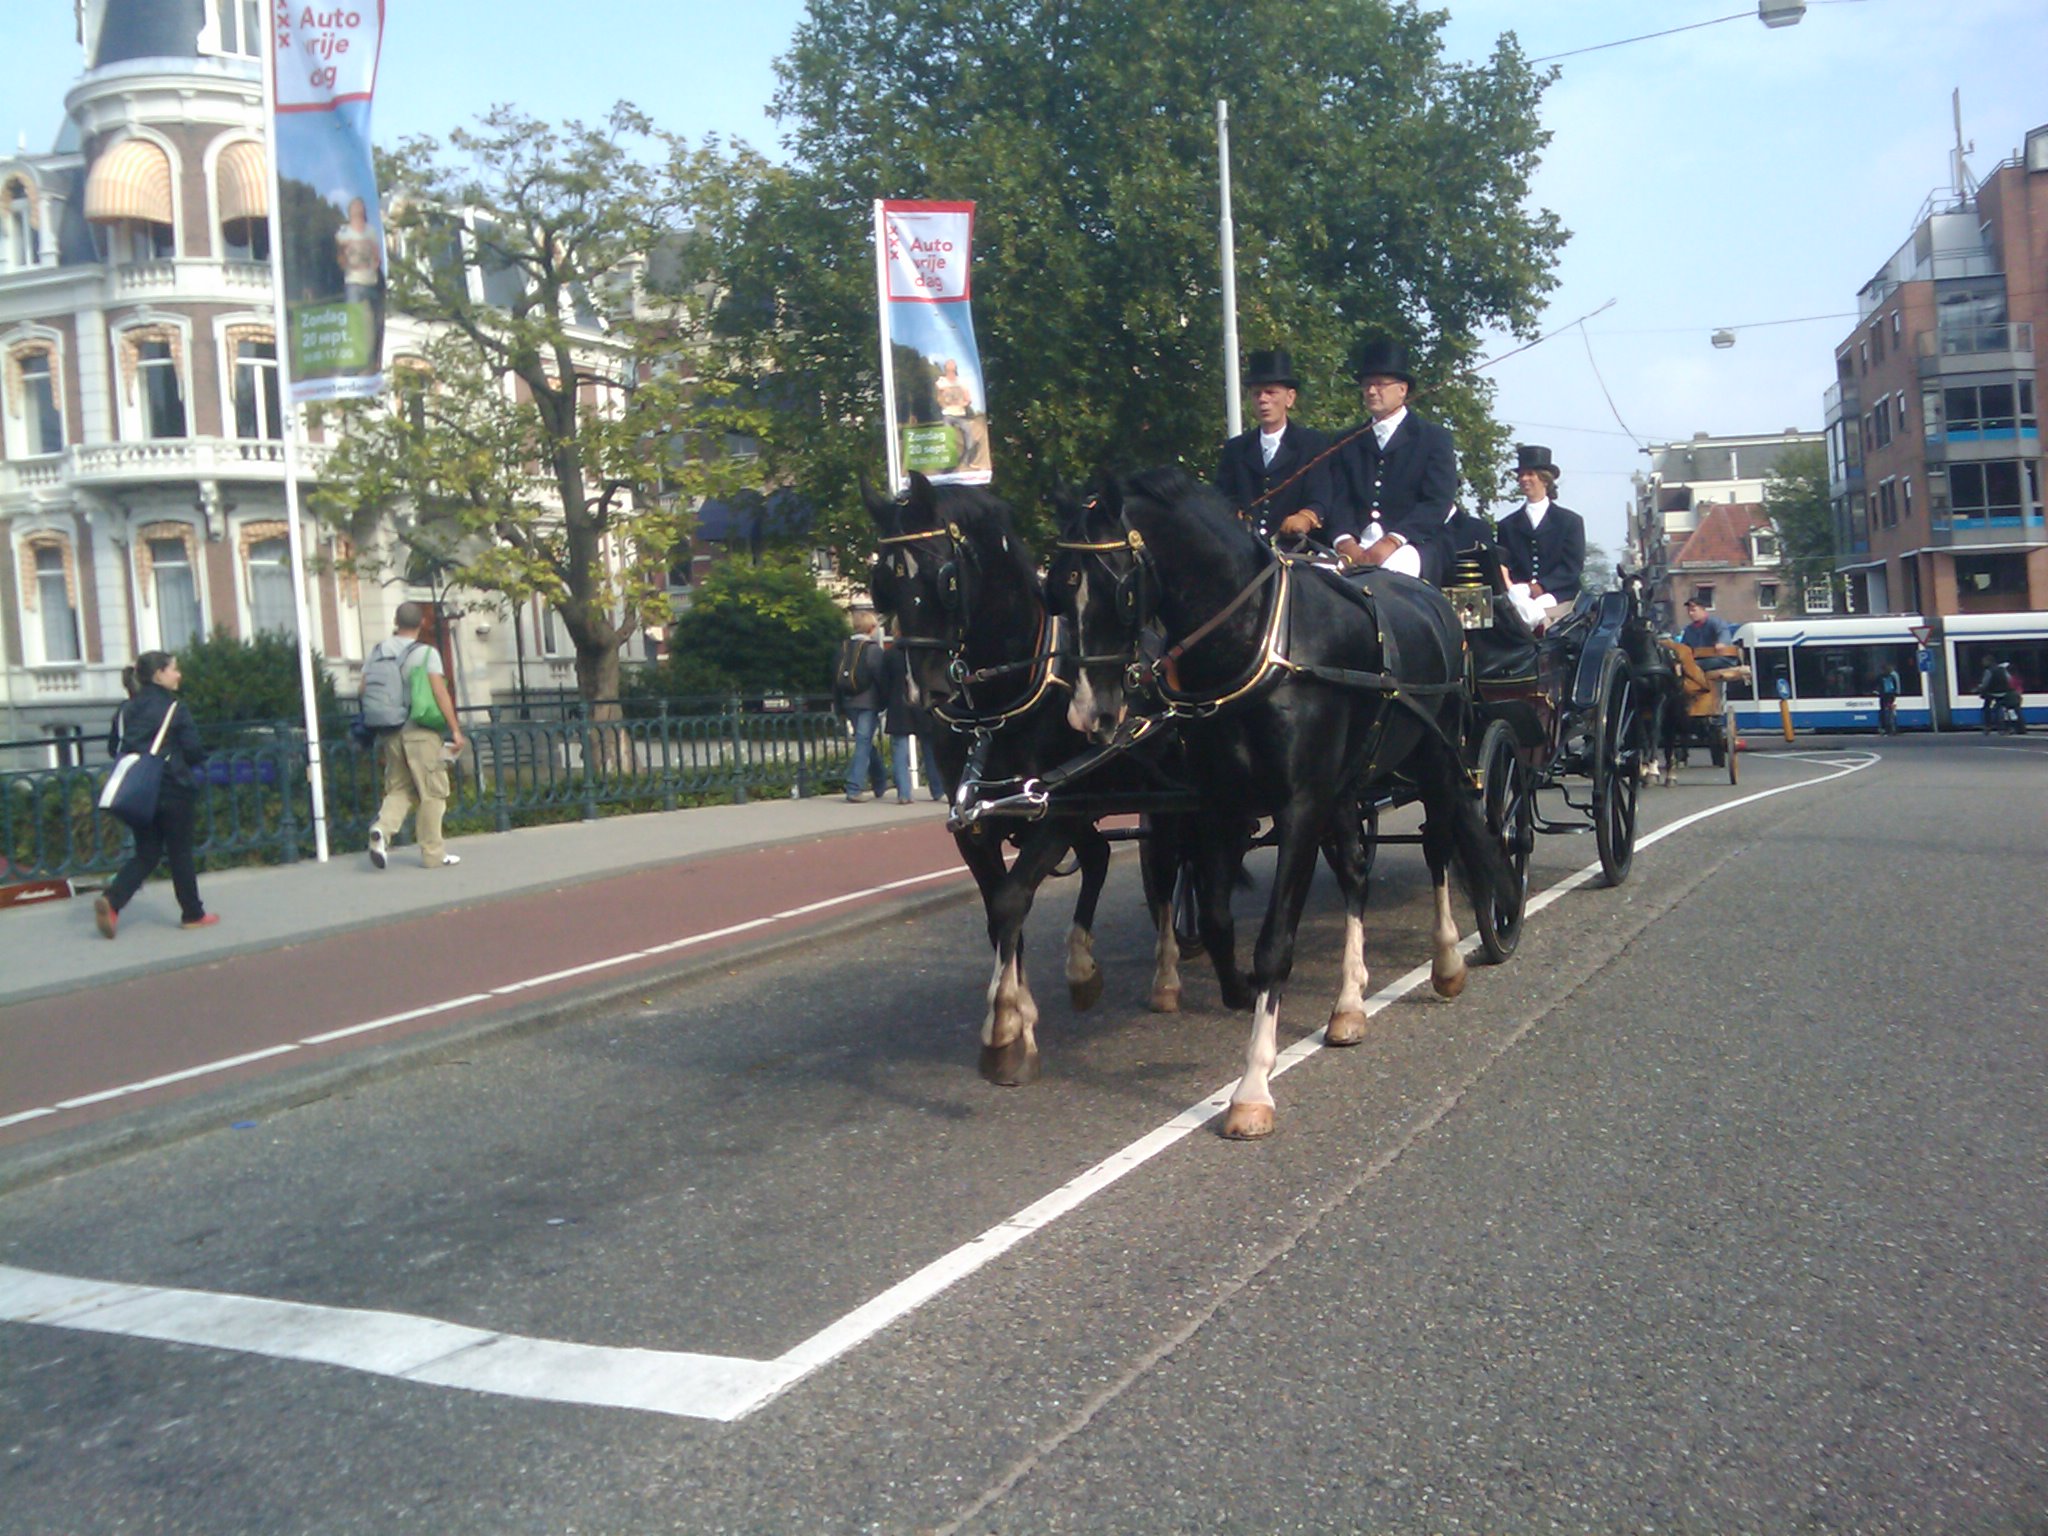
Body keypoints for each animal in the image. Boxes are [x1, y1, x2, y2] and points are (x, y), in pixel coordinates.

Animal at [863, 473, 1190, 1085]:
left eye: (944, 577)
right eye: (882, 583)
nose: (921, 691)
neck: (1001, 703)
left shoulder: (1052, 812)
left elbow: (1013, 899)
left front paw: (1005, 1033)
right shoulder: (980, 827)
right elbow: (998, 914)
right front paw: (1019, 1015)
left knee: (1165, 873)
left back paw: (1164, 976)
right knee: (1101, 857)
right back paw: (1083, 967)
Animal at [1069, 467, 1520, 1140]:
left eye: (1116, 585)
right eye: (1056, 586)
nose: (1089, 715)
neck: (1254, 642)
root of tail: (1440, 604)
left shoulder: (1300, 806)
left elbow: (1275, 942)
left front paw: (1253, 1087)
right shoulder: (1223, 808)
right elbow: (1220, 919)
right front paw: (1236, 991)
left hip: (1434, 761)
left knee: (1443, 845)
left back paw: (1446, 962)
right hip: (1349, 787)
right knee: (1357, 873)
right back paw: (1350, 1005)